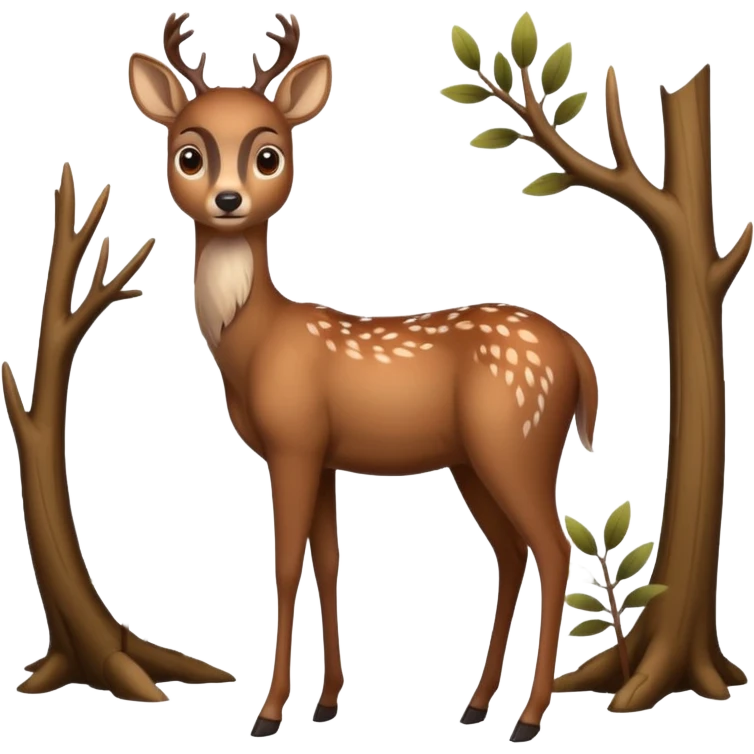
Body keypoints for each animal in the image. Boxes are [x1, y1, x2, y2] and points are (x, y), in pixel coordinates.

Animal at [127, 11, 599, 743]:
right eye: (189, 155)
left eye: (269, 155)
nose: (228, 199)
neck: (255, 345)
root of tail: (578, 357)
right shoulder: (323, 455)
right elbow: (328, 563)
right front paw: (325, 704)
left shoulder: (293, 443)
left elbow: (285, 564)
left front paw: (268, 712)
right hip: (473, 459)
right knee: (512, 551)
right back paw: (476, 703)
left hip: (516, 442)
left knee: (550, 548)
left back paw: (527, 716)